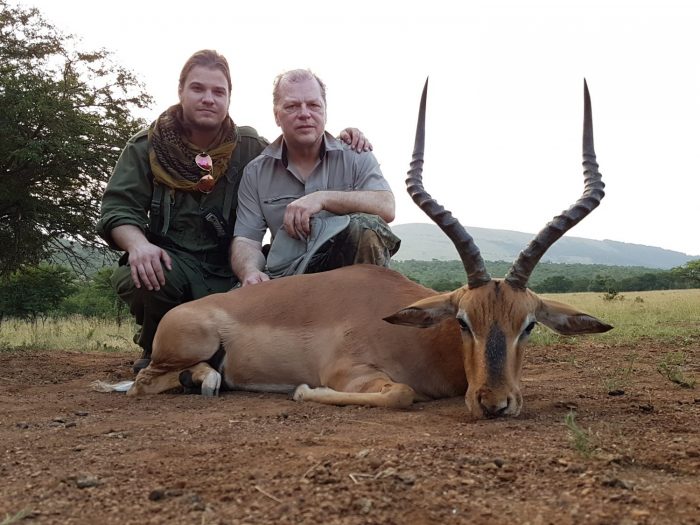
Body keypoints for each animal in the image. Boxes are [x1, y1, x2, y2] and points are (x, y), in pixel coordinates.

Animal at [126, 79, 612, 419]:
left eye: (528, 325)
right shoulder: (353, 373)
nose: (495, 403)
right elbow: (401, 394)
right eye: (463, 321)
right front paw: (303, 391)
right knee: (142, 384)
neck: (423, 339)